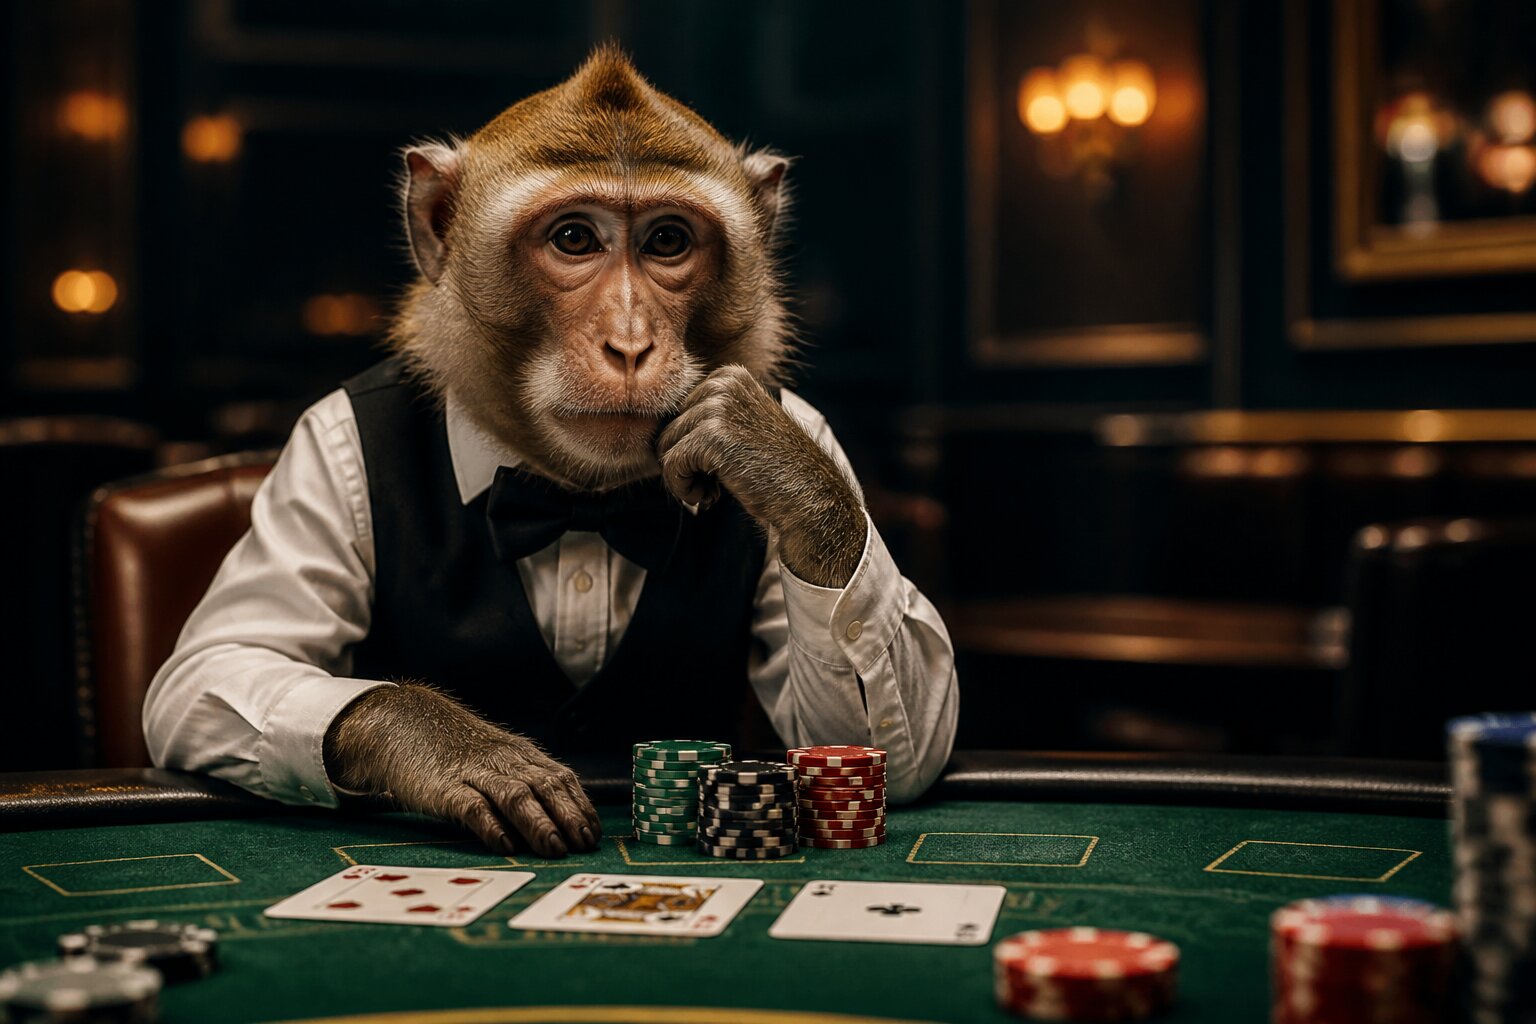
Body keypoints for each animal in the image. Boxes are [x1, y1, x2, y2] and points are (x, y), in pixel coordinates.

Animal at [145, 46, 959, 861]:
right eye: (574, 239)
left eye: (668, 241)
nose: (629, 344)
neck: (576, 500)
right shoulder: (324, 440)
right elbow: (220, 660)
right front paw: (457, 750)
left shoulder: (813, 425)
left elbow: (899, 735)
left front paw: (769, 460)